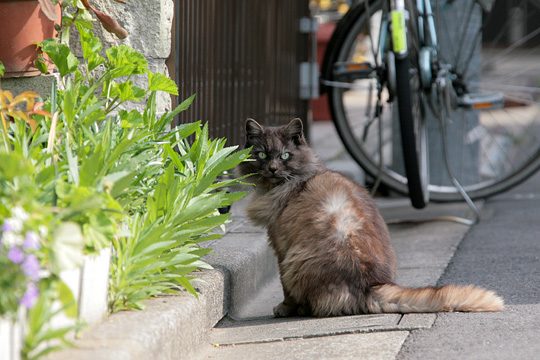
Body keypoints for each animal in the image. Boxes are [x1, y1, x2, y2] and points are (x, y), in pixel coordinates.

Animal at [238, 116, 504, 316]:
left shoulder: (281, 249)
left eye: (285, 155)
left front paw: (284, 308)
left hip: (296, 262)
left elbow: (286, 290)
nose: (272, 169)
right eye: (262, 155)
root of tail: (369, 284)